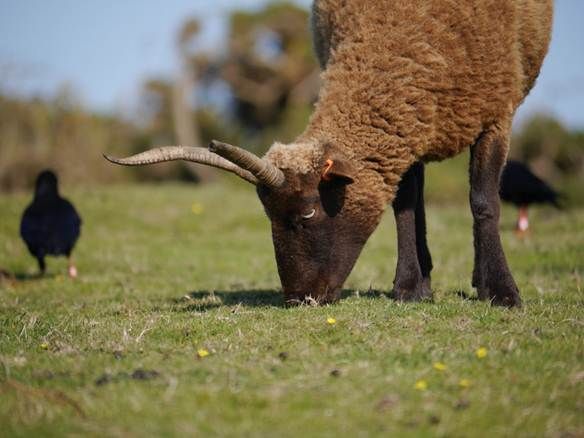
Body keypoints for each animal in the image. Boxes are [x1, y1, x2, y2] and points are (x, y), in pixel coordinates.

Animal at [105, 0, 552, 308]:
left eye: (308, 213)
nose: (298, 300)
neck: (400, 39)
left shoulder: (497, 114)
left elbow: (483, 202)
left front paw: (501, 292)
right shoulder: (405, 124)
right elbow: (405, 207)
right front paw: (409, 288)